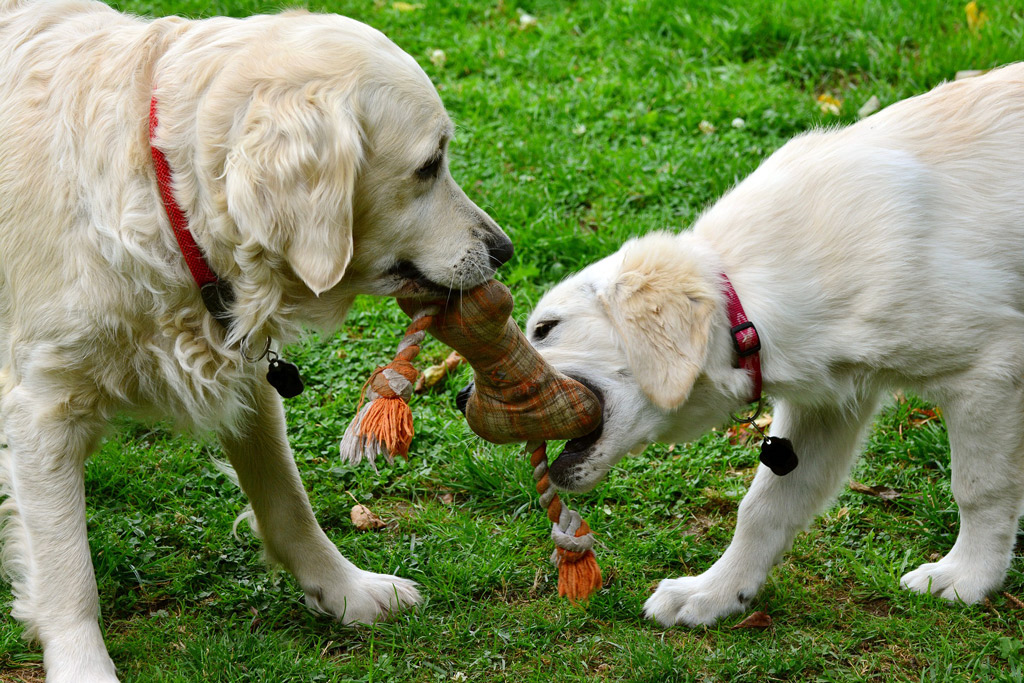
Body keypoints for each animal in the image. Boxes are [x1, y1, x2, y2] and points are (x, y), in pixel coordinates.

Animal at [0, 1, 512, 683]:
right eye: (430, 165)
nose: (505, 250)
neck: (164, 197)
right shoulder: (44, 409)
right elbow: (67, 570)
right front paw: (83, 665)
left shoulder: (248, 378)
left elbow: (288, 502)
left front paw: (347, 590)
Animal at [528, 66, 1024, 626]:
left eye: (546, 327)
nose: (473, 398)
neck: (747, 304)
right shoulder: (829, 404)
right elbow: (764, 507)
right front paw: (715, 593)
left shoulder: (988, 367)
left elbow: (980, 488)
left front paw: (969, 578)